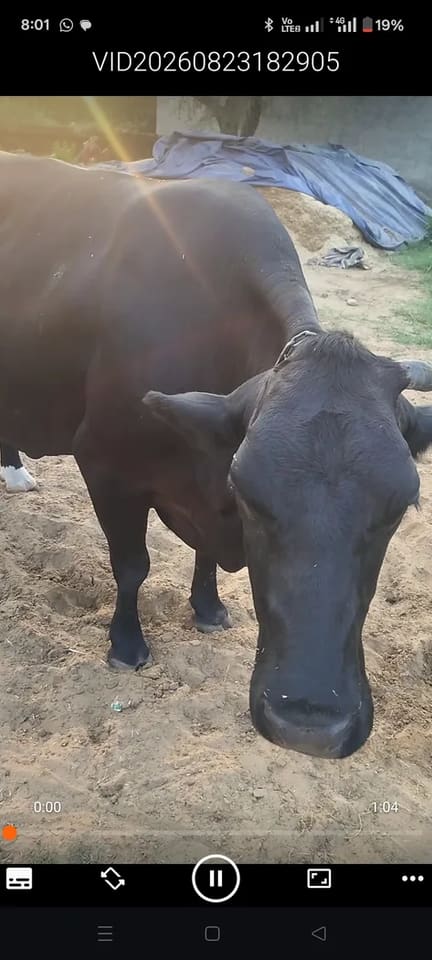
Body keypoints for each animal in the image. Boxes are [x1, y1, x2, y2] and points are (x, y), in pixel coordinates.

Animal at [1, 151, 432, 761]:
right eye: (252, 496)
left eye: (398, 509)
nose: (309, 726)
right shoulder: (106, 462)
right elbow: (132, 565)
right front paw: (127, 645)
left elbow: (203, 557)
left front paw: (207, 609)